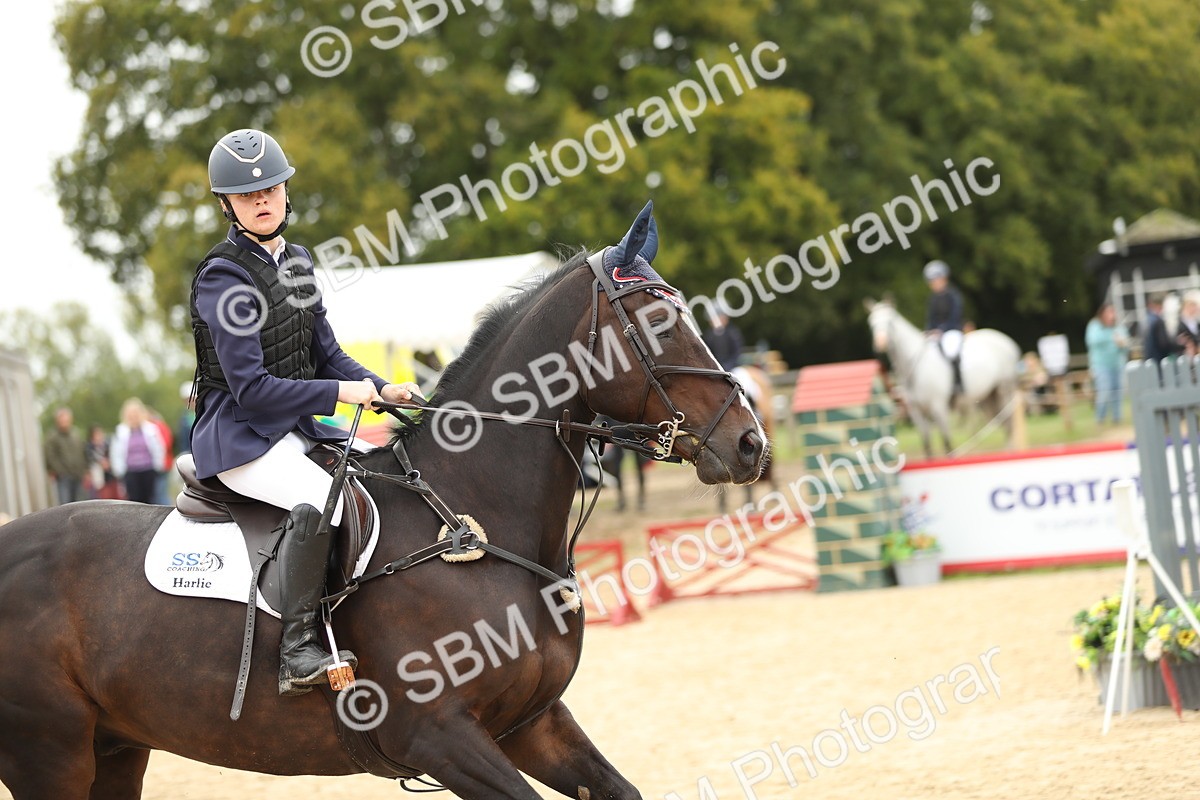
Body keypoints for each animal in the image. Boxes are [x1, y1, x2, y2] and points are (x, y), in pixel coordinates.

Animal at [0, 202, 766, 800]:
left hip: (116, 746)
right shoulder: (441, 738)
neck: (471, 519)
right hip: (50, 752)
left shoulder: (533, 724)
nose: (751, 443)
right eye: (658, 322)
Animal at [865, 298, 1020, 459]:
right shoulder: (916, 412)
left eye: (890, 323)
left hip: (1004, 391)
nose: (880, 343)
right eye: (871, 322)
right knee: (1003, 424)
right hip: (987, 399)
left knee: (1009, 425)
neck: (915, 368)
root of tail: (1009, 342)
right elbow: (927, 446)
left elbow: (947, 444)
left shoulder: (939, 408)